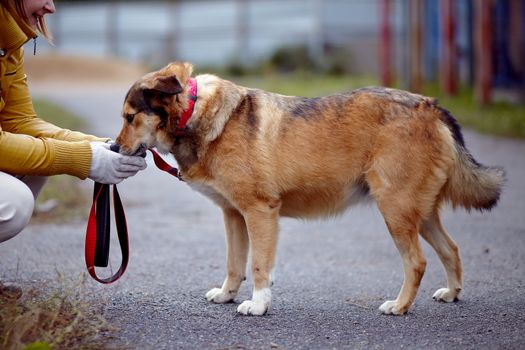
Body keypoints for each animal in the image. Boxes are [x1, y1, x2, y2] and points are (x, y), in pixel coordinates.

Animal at [113, 61, 504, 316]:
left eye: (130, 118)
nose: (114, 148)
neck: (196, 113)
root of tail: (431, 106)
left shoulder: (260, 212)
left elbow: (258, 266)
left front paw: (258, 304)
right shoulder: (234, 216)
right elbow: (234, 265)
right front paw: (227, 295)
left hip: (396, 211)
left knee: (418, 262)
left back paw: (400, 305)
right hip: (418, 214)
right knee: (451, 250)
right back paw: (451, 293)